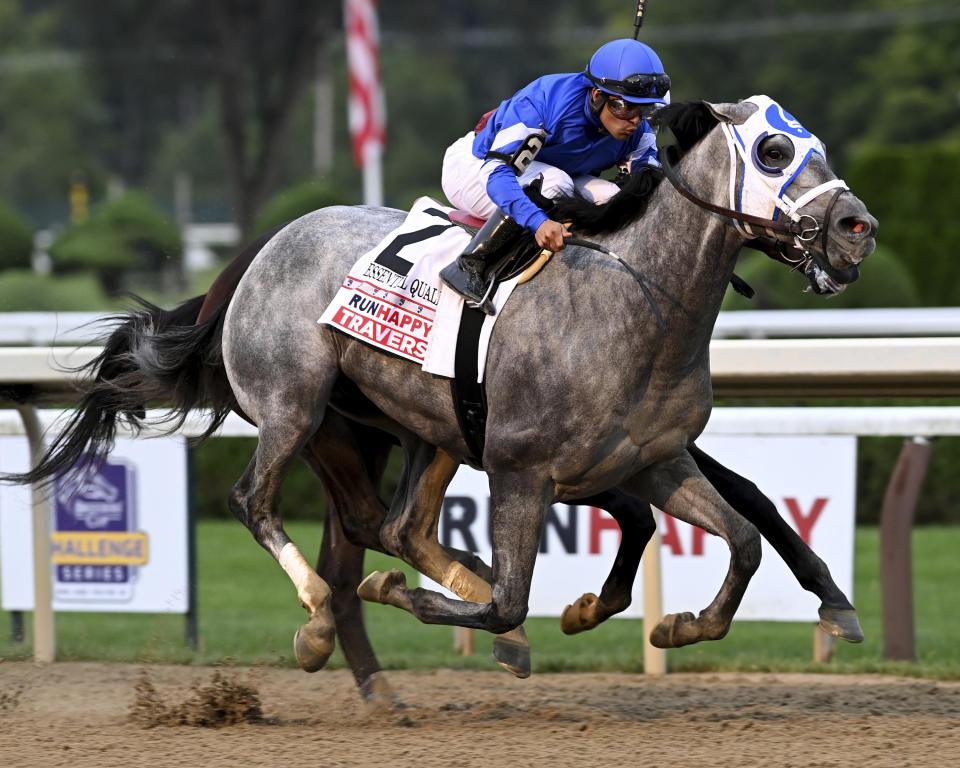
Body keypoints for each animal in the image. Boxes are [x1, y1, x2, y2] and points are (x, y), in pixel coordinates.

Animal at [5, 96, 876, 696]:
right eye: (772, 149)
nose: (857, 227)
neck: (636, 302)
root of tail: (258, 249)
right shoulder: (525, 471)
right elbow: (514, 598)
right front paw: (427, 599)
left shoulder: (653, 461)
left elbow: (744, 535)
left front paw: (682, 622)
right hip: (296, 407)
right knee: (258, 501)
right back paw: (320, 613)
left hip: (409, 428)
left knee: (395, 525)